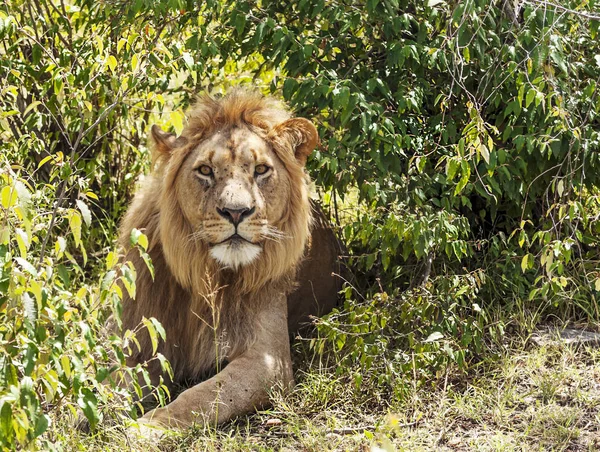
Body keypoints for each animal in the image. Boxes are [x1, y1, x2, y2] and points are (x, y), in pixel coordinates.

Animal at [118, 89, 342, 430]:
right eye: (205, 171)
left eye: (261, 170)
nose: (236, 212)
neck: (205, 272)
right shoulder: (142, 335)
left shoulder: (268, 363)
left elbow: (197, 399)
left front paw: (143, 429)